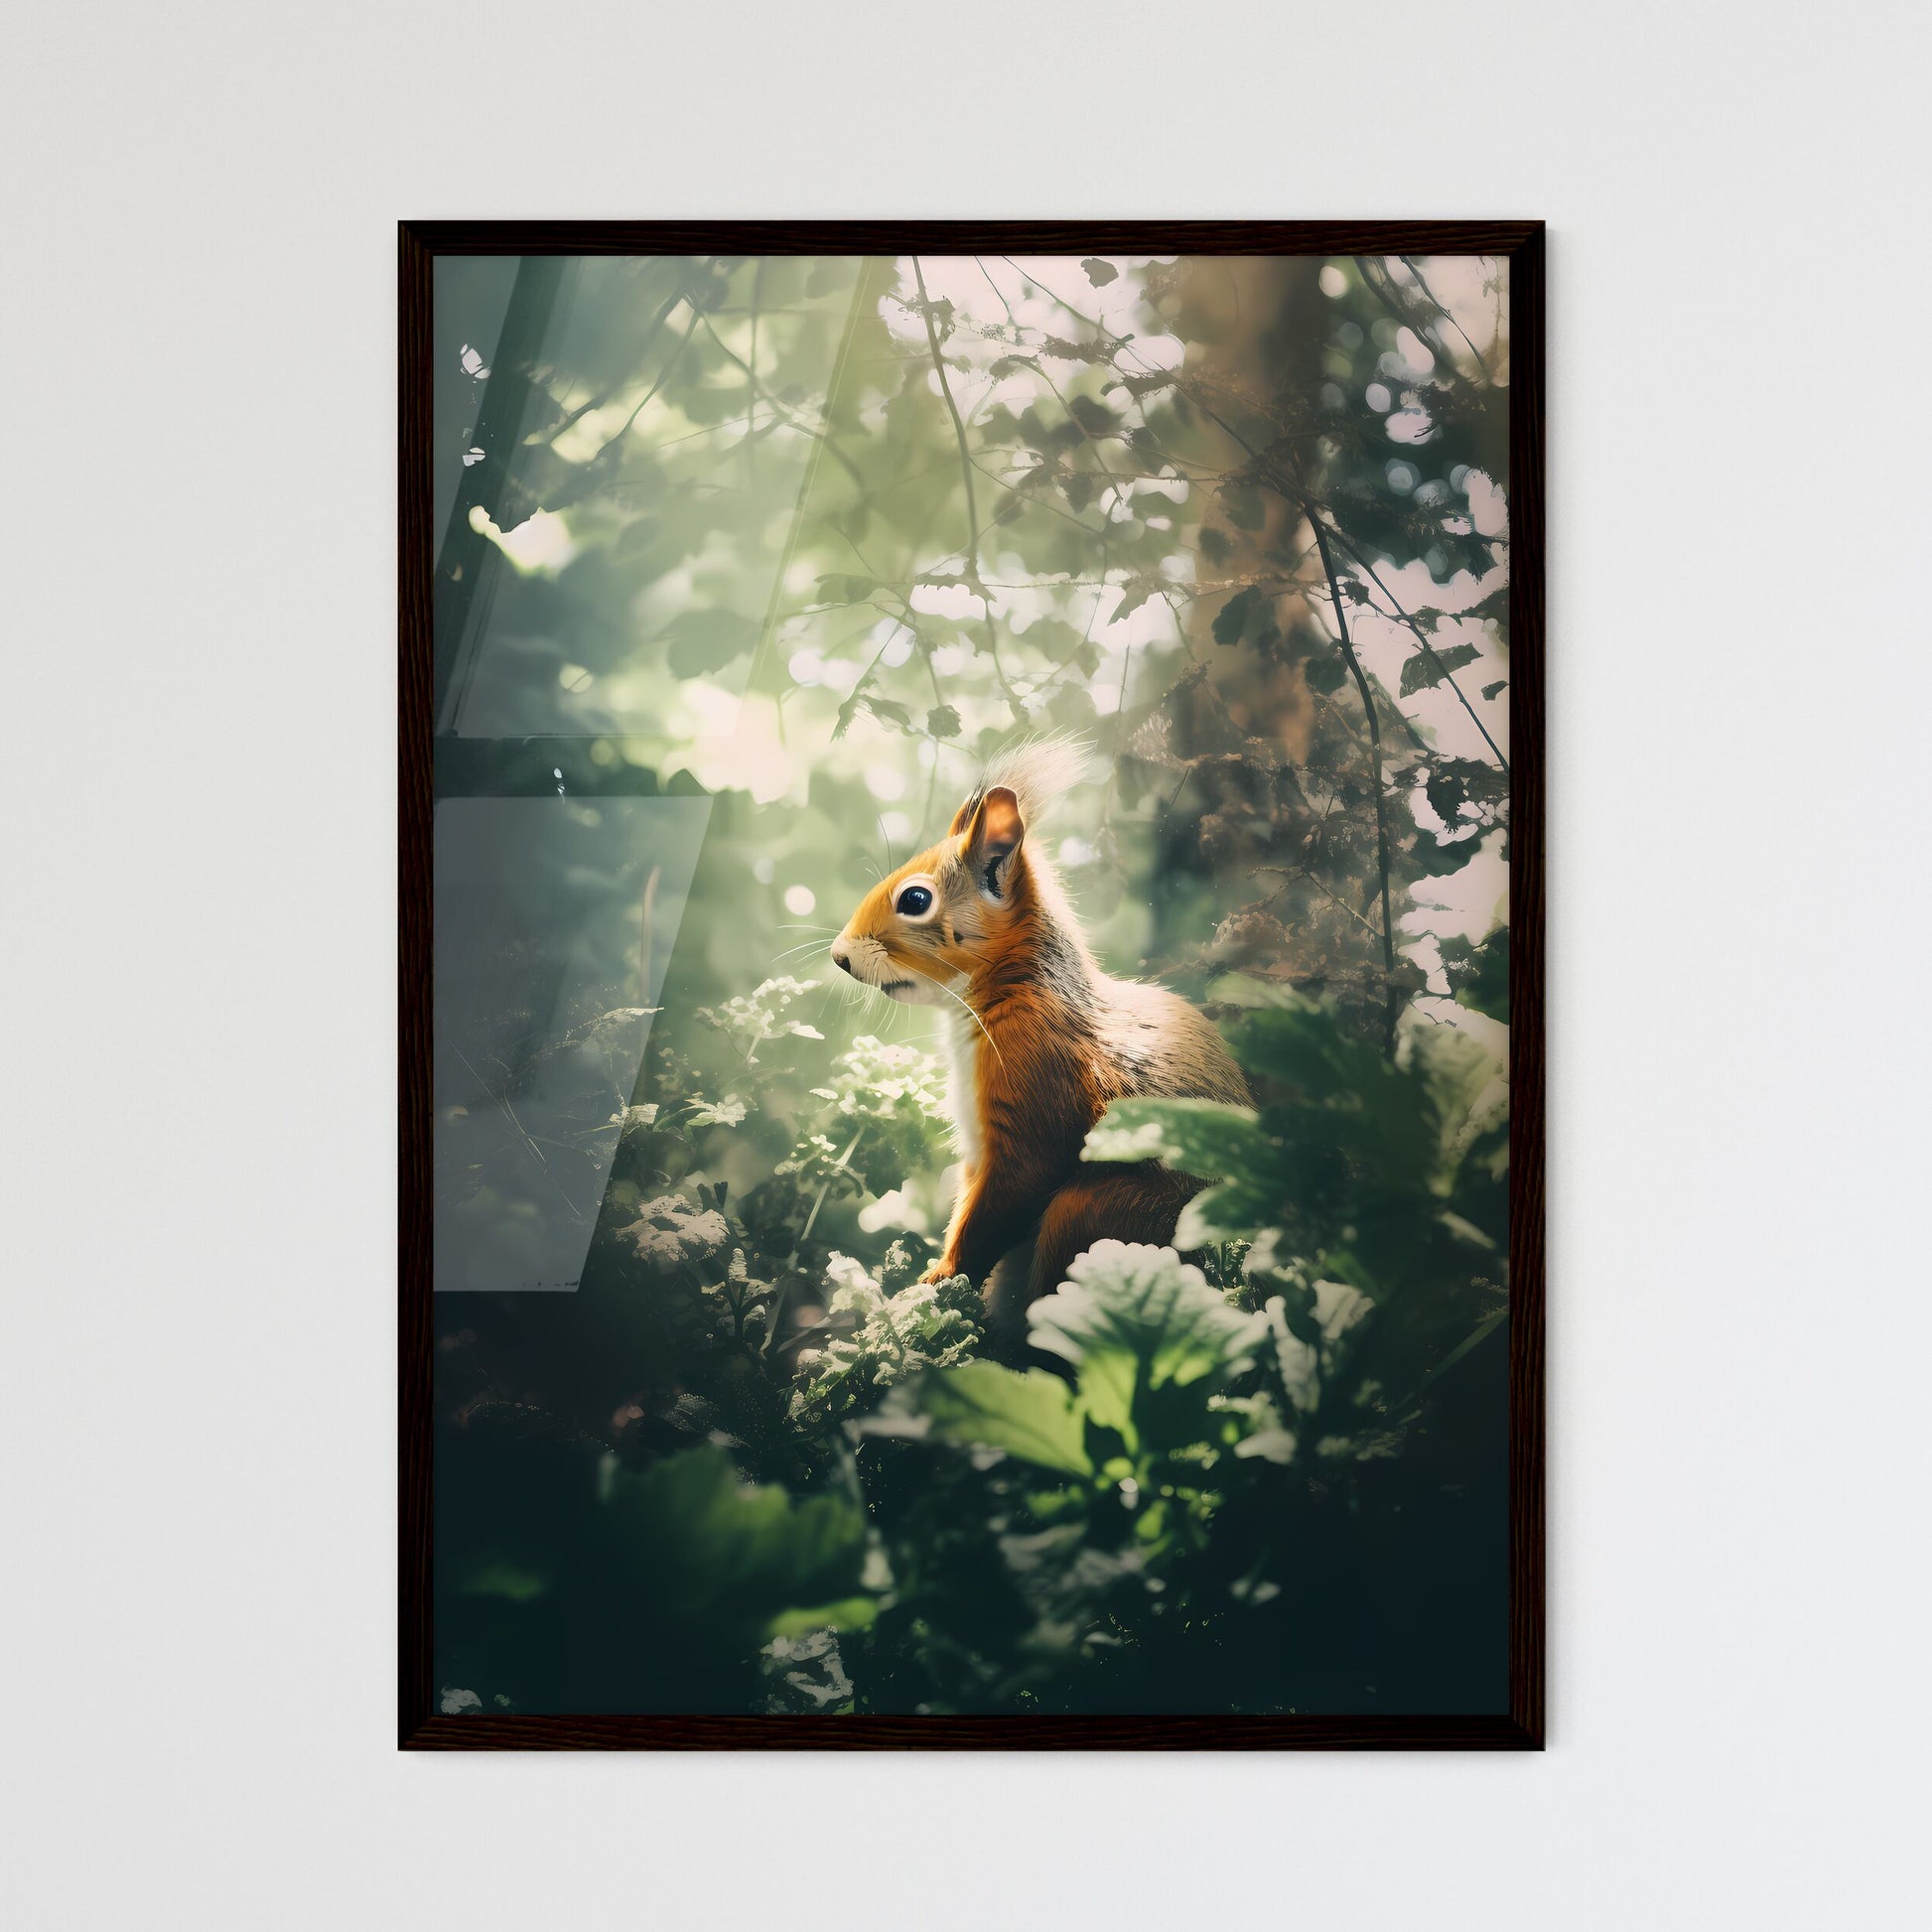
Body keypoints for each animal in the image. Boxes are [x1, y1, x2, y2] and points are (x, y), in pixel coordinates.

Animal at [829, 739, 1252, 1323]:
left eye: (915, 900)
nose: (839, 955)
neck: (1010, 989)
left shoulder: (1038, 1083)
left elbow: (1006, 1200)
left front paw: (938, 1282)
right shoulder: (979, 1149)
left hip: (1094, 1215)